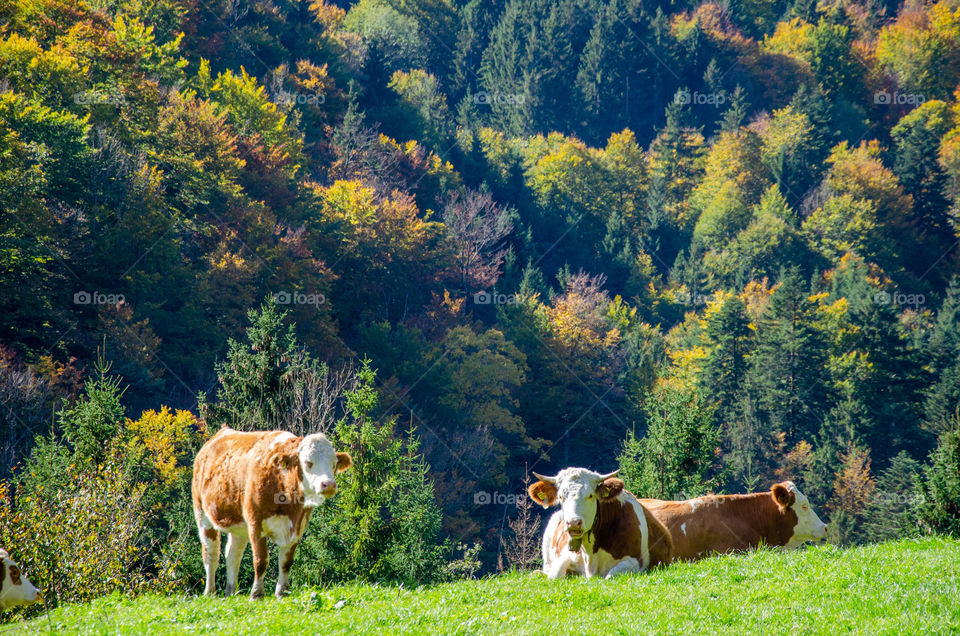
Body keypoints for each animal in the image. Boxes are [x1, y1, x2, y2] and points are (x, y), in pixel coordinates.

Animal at [192, 427, 352, 600]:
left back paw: (231, 592)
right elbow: (261, 560)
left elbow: (286, 562)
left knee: (233, 555)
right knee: (211, 554)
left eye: (334, 464)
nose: (329, 484)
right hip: (202, 515)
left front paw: (282, 592)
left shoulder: (297, 527)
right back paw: (210, 592)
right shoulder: (255, 524)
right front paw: (256, 594)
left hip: (239, 526)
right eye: (308, 463)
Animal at [528, 468, 673, 579]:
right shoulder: (566, 556)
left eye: (590, 495)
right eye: (560, 497)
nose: (573, 523)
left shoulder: (635, 562)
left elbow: (610, 576)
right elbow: (555, 575)